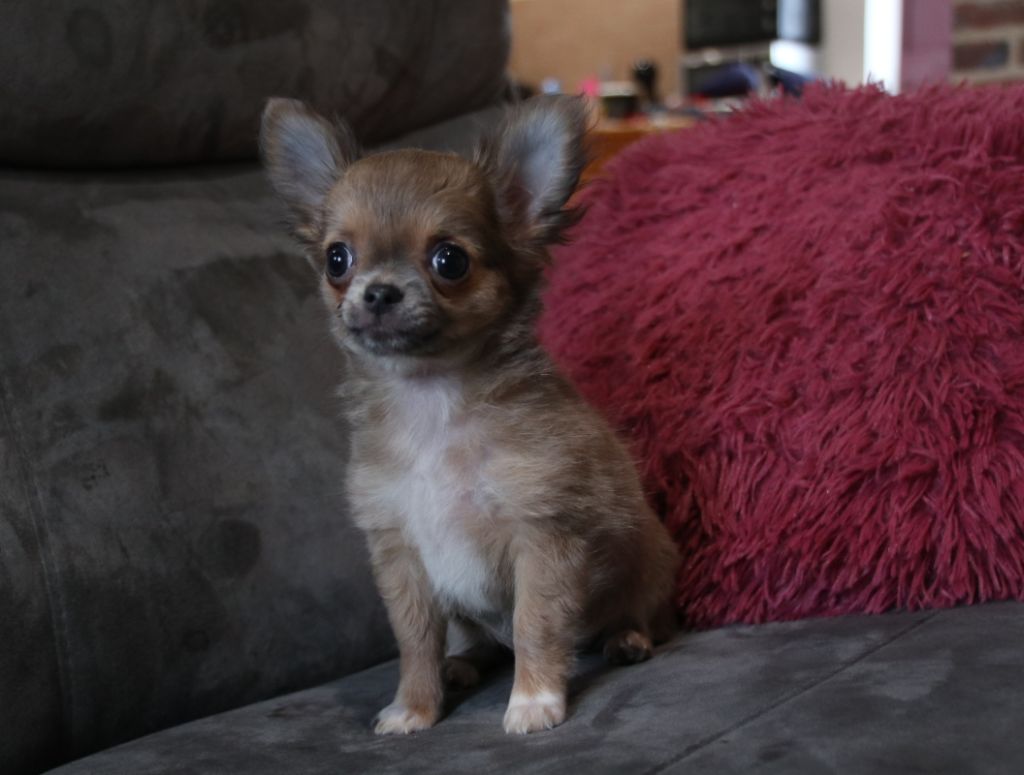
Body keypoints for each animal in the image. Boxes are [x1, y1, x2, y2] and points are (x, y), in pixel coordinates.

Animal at [259, 95, 679, 735]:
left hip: (651, 561)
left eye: (449, 260)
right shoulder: (401, 554)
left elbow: (535, 625)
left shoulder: (544, 537)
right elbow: (415, 642)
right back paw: (462, 665)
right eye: (337, 259)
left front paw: (534, 700)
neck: (433, 401)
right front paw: (415, 706)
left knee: (637, 615)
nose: (378, 292)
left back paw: (627, 639)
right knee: (474, 642)